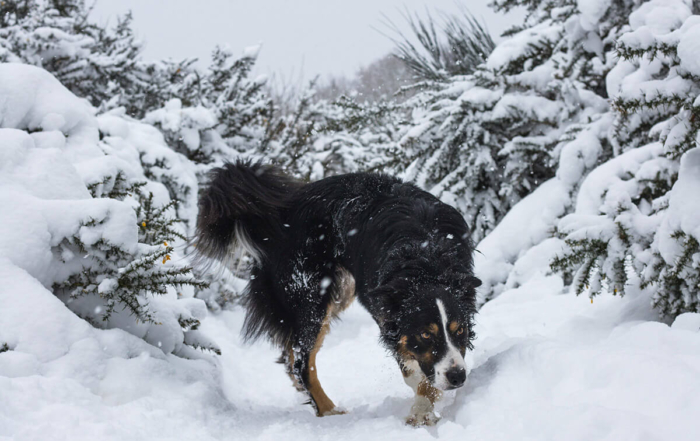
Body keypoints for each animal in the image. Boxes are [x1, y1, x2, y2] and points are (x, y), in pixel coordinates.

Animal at [196, 160, 482, 424]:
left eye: (460, 330)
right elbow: (413, 366)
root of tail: (277, 212)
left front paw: (425, 403)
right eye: (425, 334)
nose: (458, 377)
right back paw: (329, 411)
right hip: (310, 296)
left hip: (337, 291)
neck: (425, 258)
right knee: (302, 362)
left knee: (290, 354)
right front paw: (422, 409)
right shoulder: (388, 313)